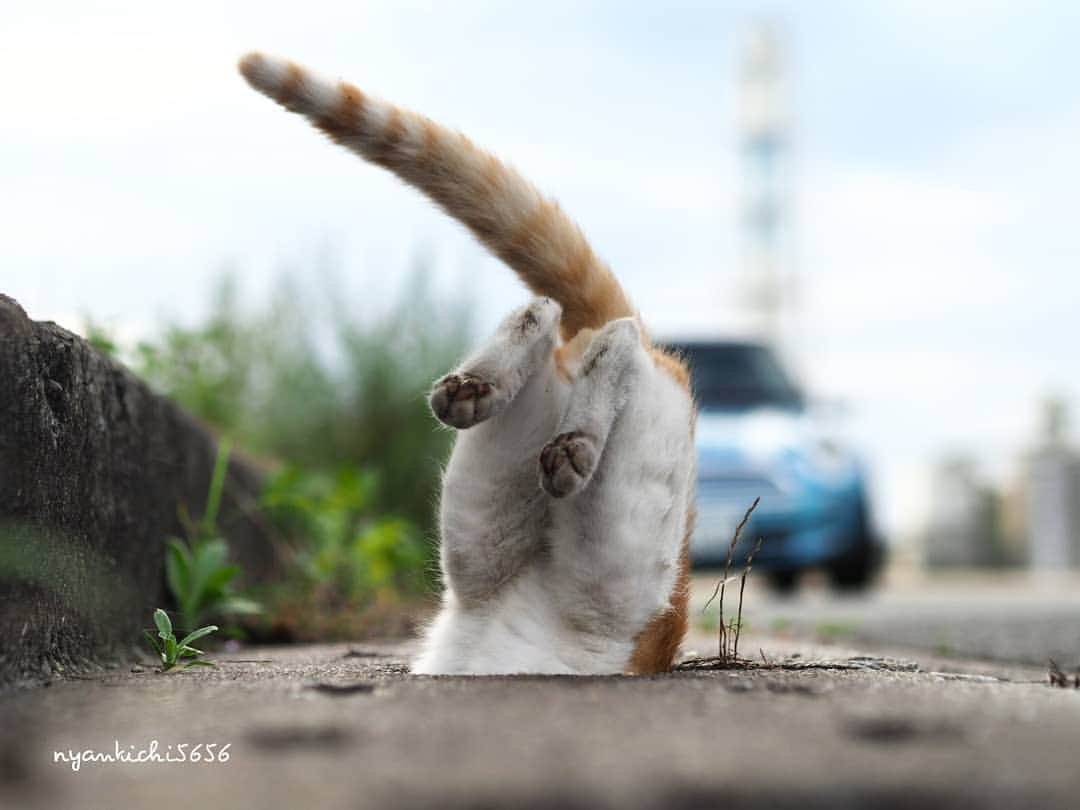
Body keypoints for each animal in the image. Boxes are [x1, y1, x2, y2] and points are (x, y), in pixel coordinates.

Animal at [237, 47, 695, 673]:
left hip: (491, 521)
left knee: (546, 314)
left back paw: (475, 390)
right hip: (613, 548)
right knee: (608, 334)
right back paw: (569, 439)